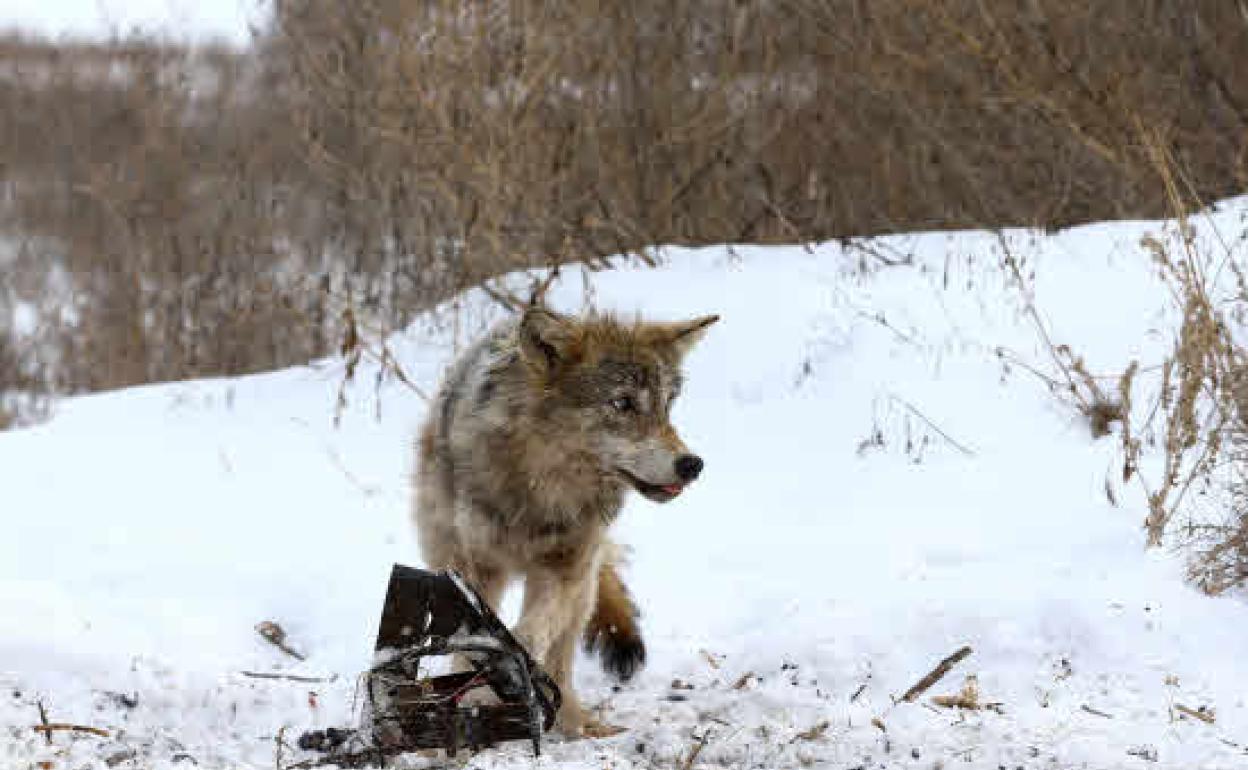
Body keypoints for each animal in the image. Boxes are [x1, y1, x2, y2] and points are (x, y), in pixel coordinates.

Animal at [414, 303, 718, 733]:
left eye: (667, 406)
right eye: (623, 403)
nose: (692, 465)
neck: (541, 489)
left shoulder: (564, 567)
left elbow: (527, 635)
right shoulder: (481, 568)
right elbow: (480, 637)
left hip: (583, 587)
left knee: (561, 660)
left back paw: (578, 725)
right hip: (448, 554)